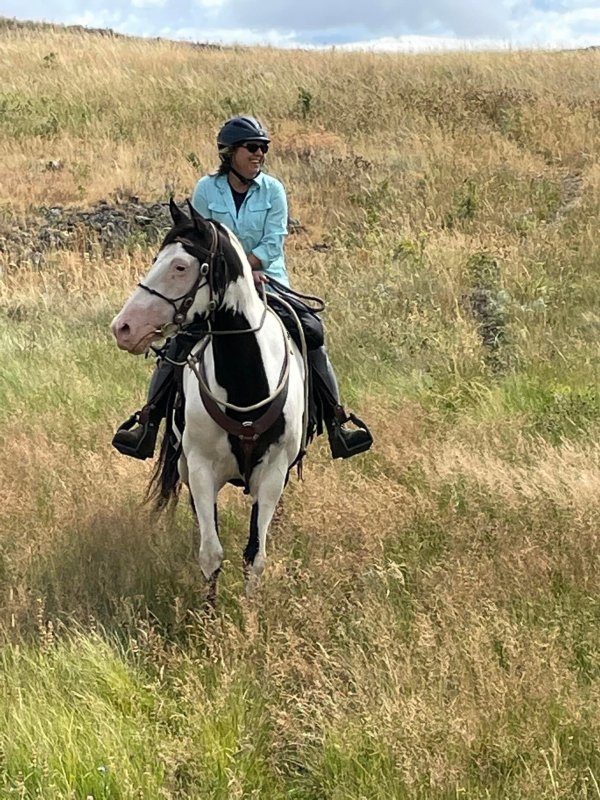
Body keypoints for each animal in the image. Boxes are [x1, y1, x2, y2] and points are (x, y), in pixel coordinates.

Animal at [111, 199, 306, 598]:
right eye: (157, 258)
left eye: (180, 267)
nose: (123, 328)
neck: (246, 385)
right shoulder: (200, 469)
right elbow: (211, 553)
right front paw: (208, 611)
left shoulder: (274, 473)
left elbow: (255, 555)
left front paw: (250, 611)